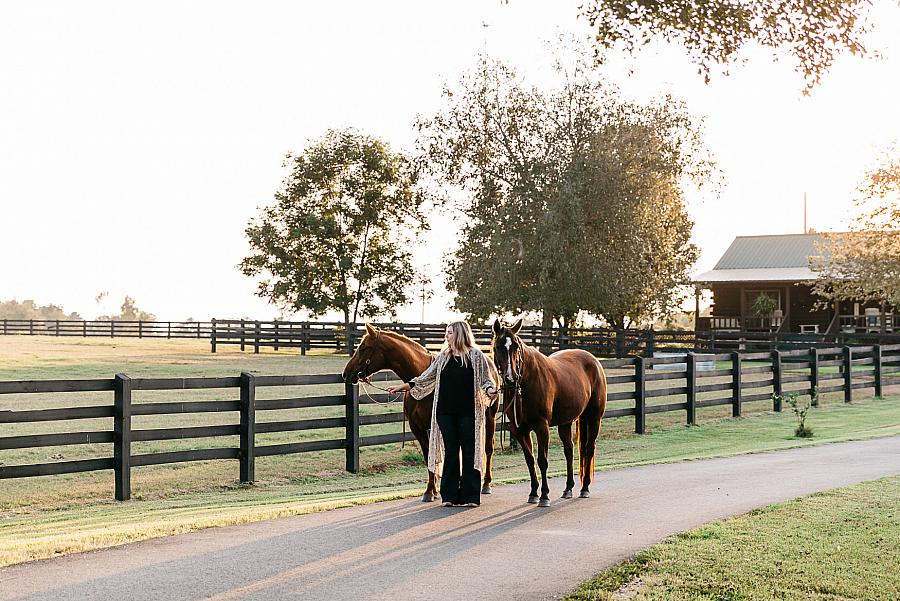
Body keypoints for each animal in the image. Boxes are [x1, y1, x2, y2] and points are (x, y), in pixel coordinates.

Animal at [488, 318, 608, 506]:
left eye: (516, 346)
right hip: (565, 423)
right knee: (569, 451)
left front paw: (544, 495)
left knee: (589, 449)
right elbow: (530, 459)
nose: (510, 377)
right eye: (498, 346)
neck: (525, 383)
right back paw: (568, 488)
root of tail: (594, 361)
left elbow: (542, 460)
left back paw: (585, 488)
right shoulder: (519, 430)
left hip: (594, 418)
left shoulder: (541, 427)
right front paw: (533, 493)